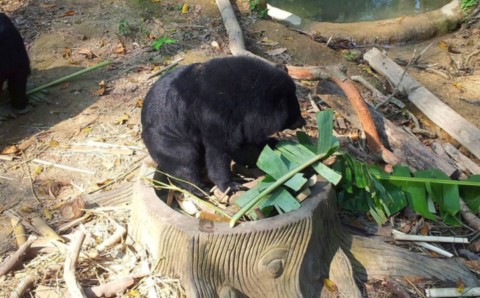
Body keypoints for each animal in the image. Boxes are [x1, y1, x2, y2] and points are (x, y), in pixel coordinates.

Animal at [142, 55, 306, 196]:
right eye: (294, 113)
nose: (303, 122)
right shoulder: (216, 118)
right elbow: (219, 151)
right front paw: (231, 186)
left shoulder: (241, 124)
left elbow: (243, 146)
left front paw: (272, 144)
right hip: (168, 141)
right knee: (184, 162)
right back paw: (201, 190)